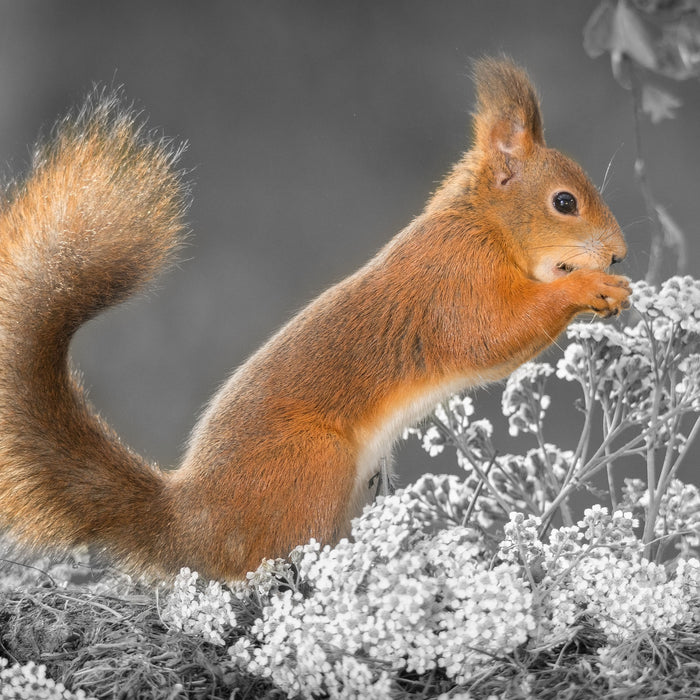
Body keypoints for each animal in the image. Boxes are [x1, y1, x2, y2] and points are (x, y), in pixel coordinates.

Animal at [0, 57, 628, 580]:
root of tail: (193, 523)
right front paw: (588, 287)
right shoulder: (456, 283)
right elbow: (494, 336)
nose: (620, 254)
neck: (483, 225)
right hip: (312, 466)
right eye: (565, 202)